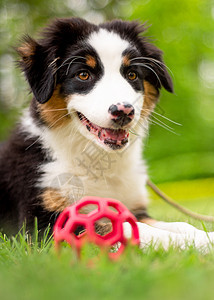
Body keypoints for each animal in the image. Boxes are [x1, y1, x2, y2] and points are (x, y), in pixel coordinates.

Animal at [0, 17, 213, 250]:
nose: (124, 111)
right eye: (83, 74)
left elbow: (179, 224)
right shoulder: (40, 222)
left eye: (132, 74)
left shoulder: (135, 208)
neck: (98, 159)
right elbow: (124, 227)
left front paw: (205, 236)